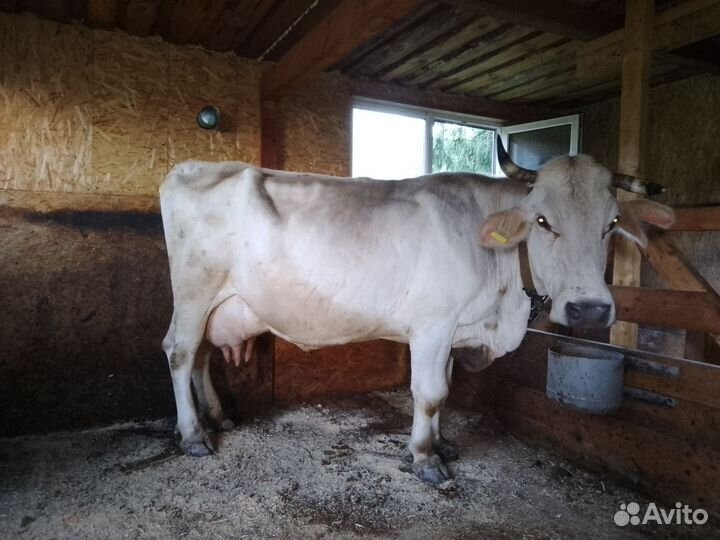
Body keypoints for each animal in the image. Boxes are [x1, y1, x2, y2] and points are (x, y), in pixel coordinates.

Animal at [159, 137, 674, 484]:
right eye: (543, 221)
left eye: (612, 222)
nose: (589, 310)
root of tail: (190, 167)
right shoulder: (433, 324)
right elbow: (429, 392)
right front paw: (426, 458)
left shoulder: (454, 329)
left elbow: (445, 389)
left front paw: (442, 442)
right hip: (193, 291)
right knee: (180, 352)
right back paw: (193, 434)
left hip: (217, 302)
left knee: (202, 354)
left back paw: (216, 416)